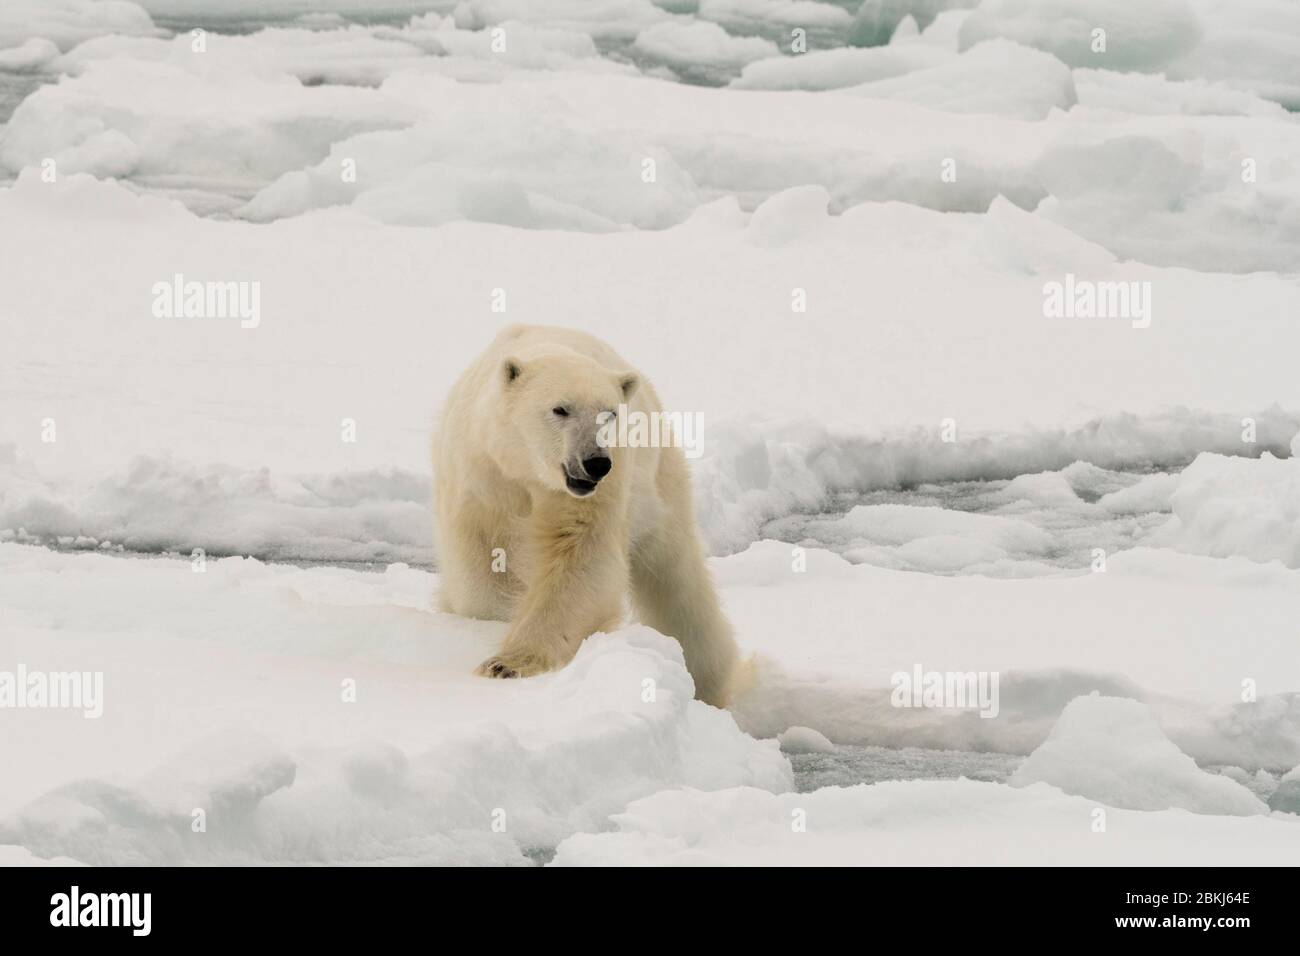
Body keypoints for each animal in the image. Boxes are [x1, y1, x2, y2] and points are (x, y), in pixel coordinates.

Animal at [434, 325, 738, 707]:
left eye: (609, 414)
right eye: (560, 409)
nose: (595, 462)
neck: (527, 469)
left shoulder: (595, 491)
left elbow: (581, 560)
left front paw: (507, 664)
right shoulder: (481, 473)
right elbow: (482, 566)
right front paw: (495, 617)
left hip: (659, 484)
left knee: (678, 579)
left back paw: (705, 676)